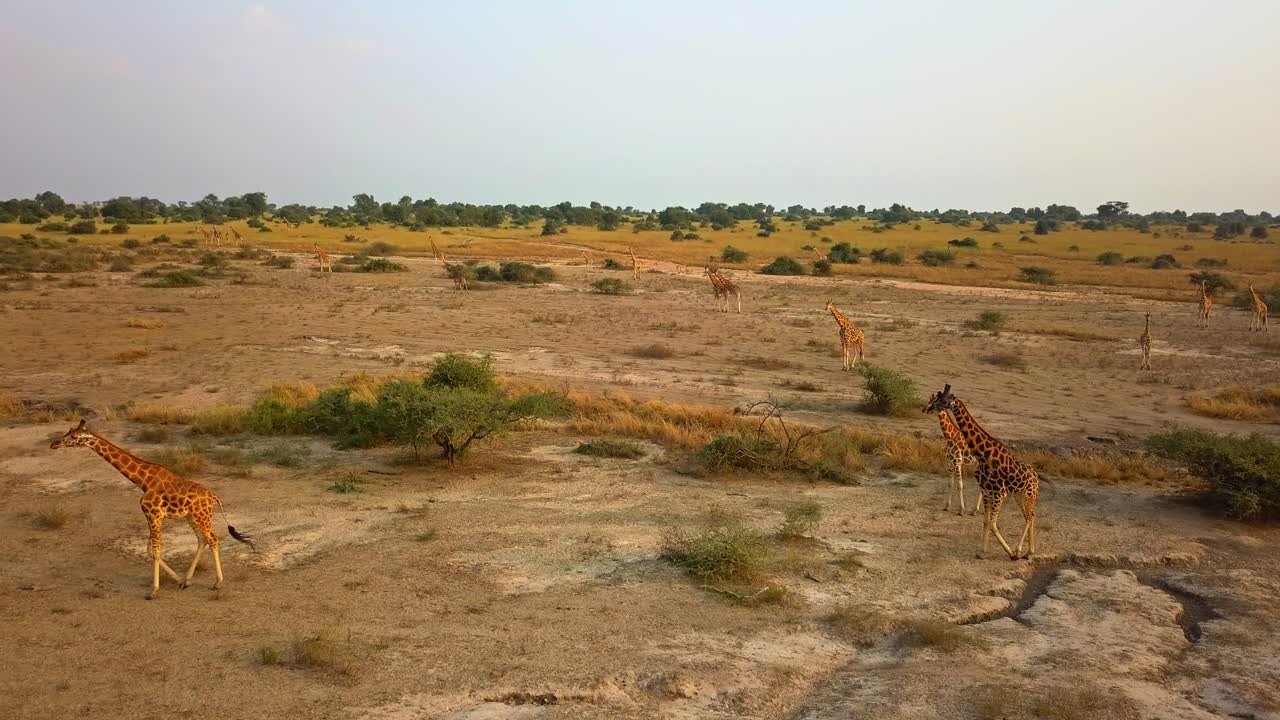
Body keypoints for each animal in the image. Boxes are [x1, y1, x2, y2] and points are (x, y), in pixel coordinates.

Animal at [50, 420, 255, 598]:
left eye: (74, 436)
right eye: (68, 431)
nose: (53, 444)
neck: (144, 481)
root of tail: (214, 496)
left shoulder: (153, 514)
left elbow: (155, 551)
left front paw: (154, 591)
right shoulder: (153, 516)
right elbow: (150, 551)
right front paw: (178, 580)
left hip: (201, 516)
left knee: (213, 539)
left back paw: (218, 583)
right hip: (191, 517)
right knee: (202, 540)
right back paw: (188, 580)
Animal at [925, 385, 1040, 560]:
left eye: (942, 400)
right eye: (934, 400)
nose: (927, 409)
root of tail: (1037, 478)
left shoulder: (999, 492)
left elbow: (992, 522)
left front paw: (1009, 552)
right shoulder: (985, 489)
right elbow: (986, 521)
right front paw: (982, 552)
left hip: (1029, 495)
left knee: (1030, 516)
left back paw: (1020, 550)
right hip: (1018, 495)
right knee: (1029, 516)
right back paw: (1027, 552)